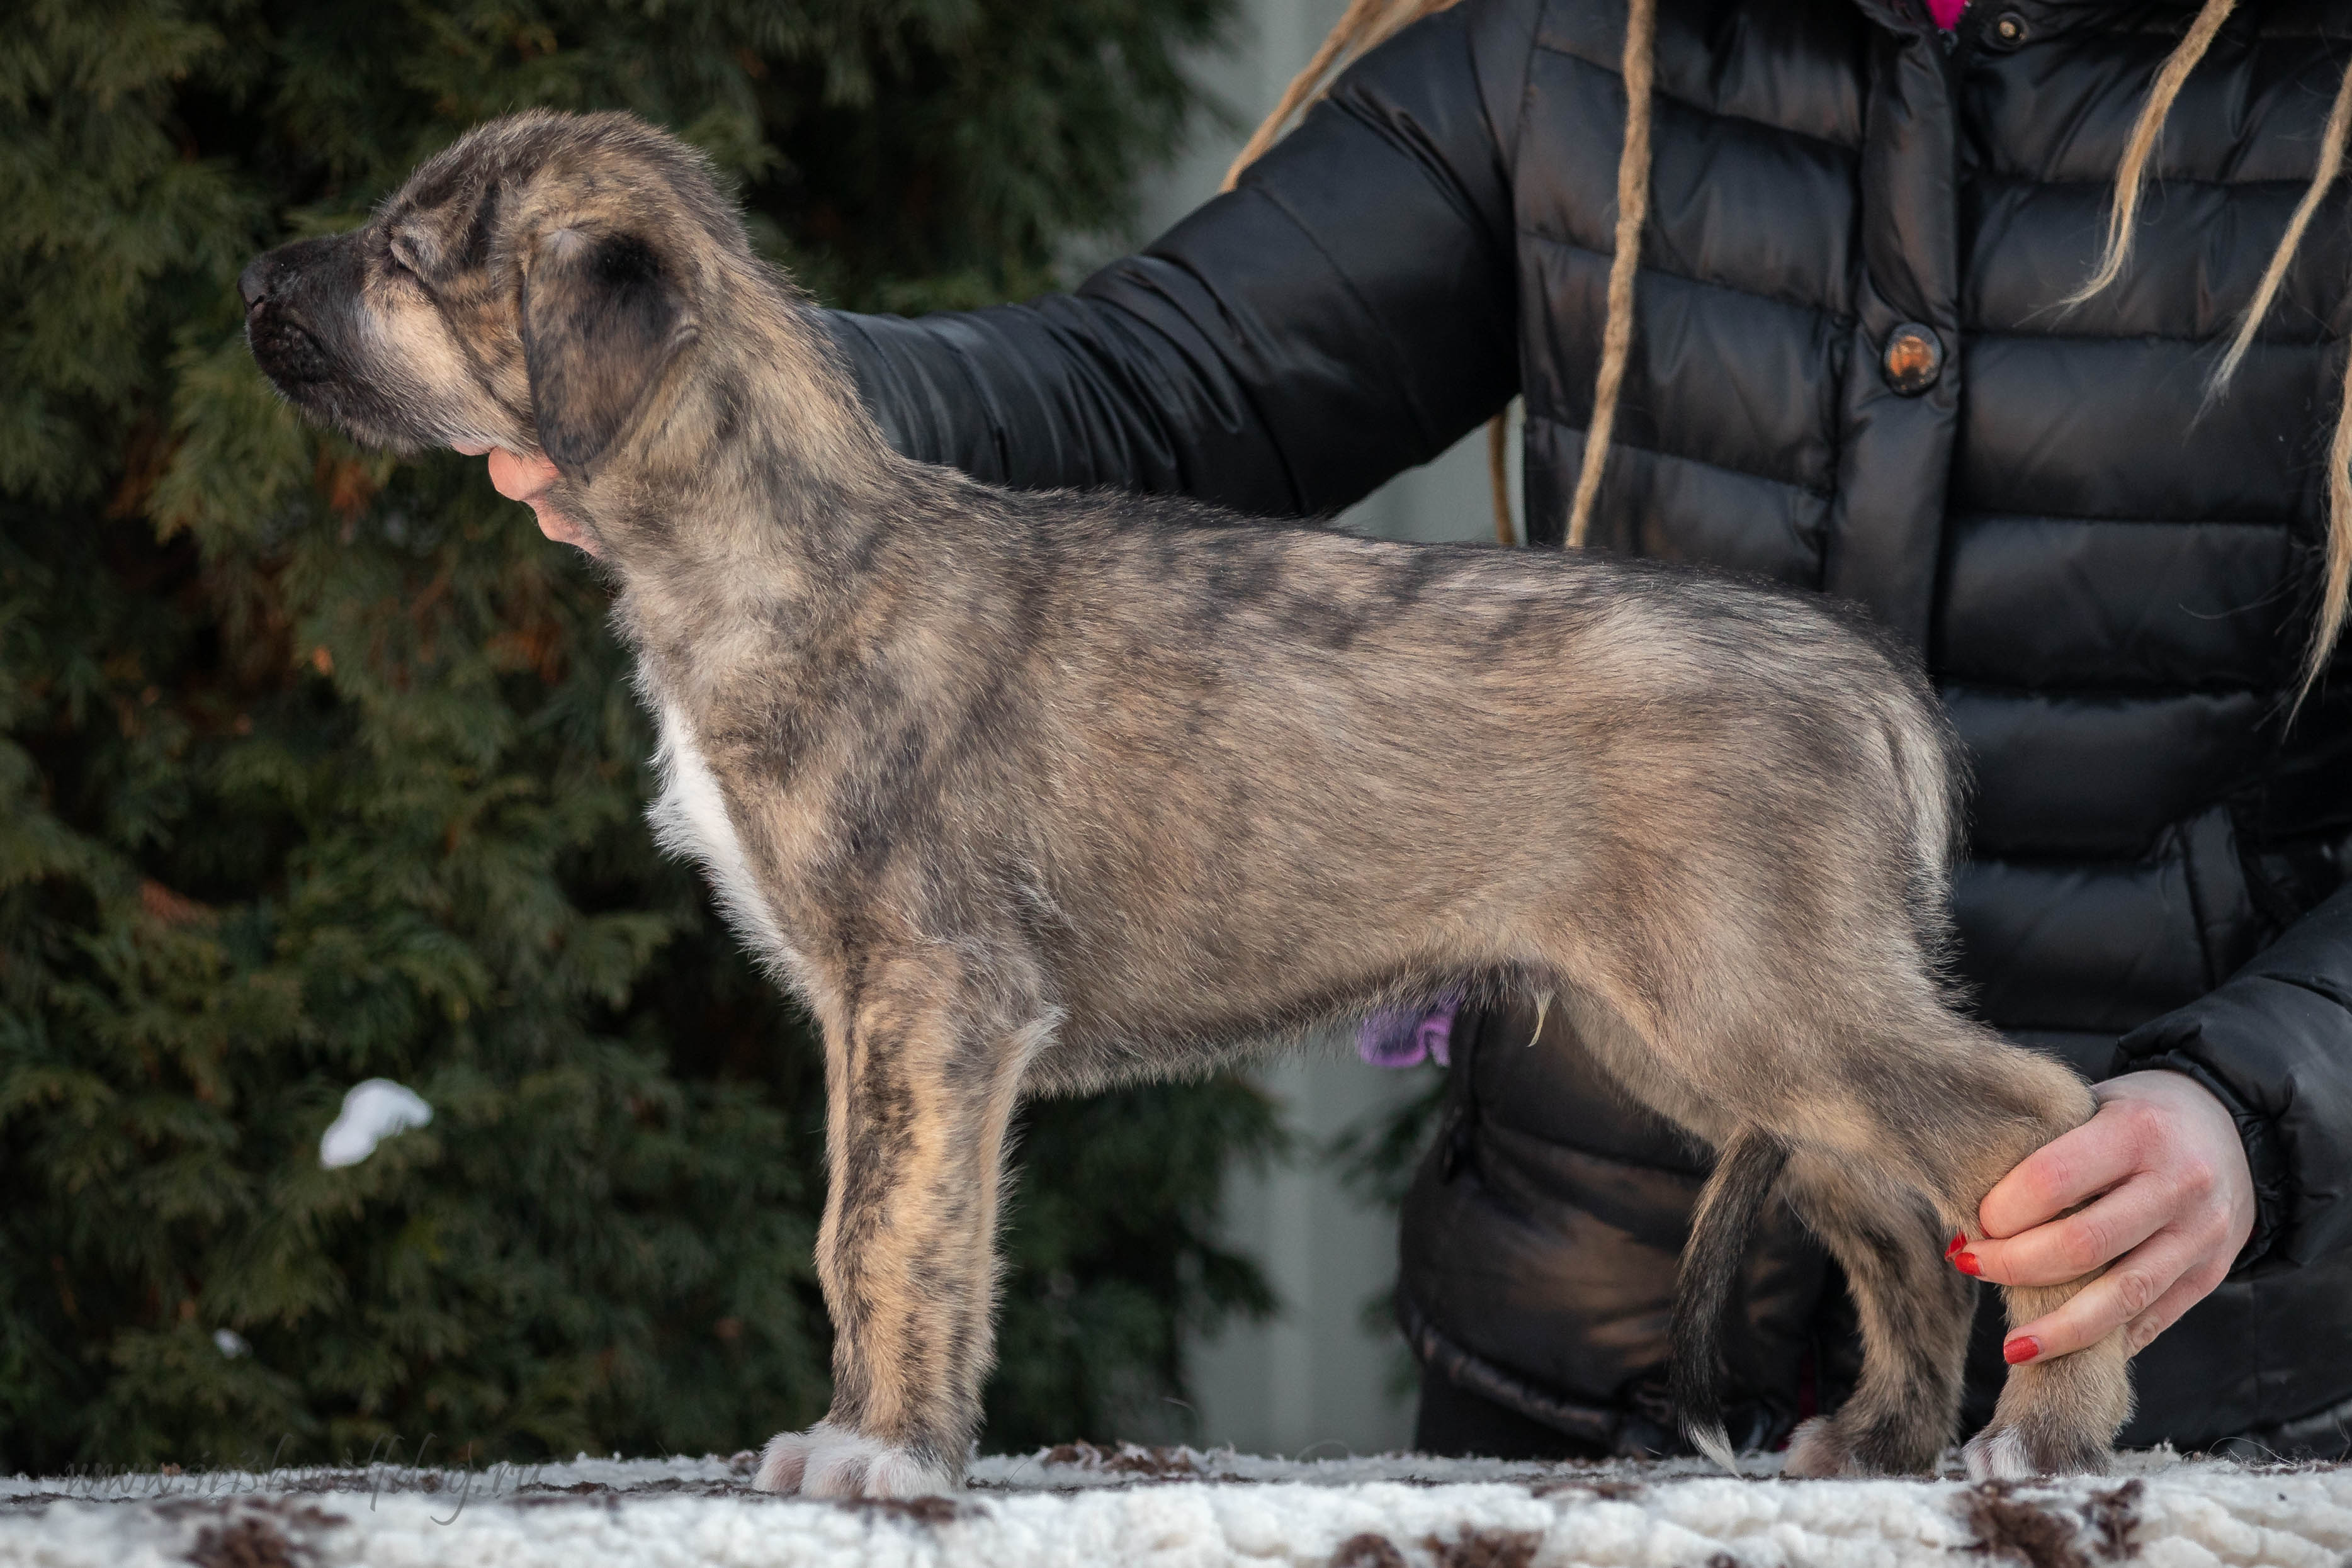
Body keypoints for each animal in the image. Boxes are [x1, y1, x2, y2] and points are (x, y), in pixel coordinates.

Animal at [239, 113, 2135, 1495]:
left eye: (406, 253)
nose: (255, 270)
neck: (780, 536)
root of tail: (1860, 672)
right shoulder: (881, 1019)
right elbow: (881, 1224)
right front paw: (881, 1433)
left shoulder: (932, 991)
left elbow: (883, 1231)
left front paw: (883, 1455)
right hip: (1698, 1031)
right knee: (1902, 1212)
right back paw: (1877, 1443)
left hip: (1753, 992)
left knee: (2031, 1128)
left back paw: (2040, 1432)